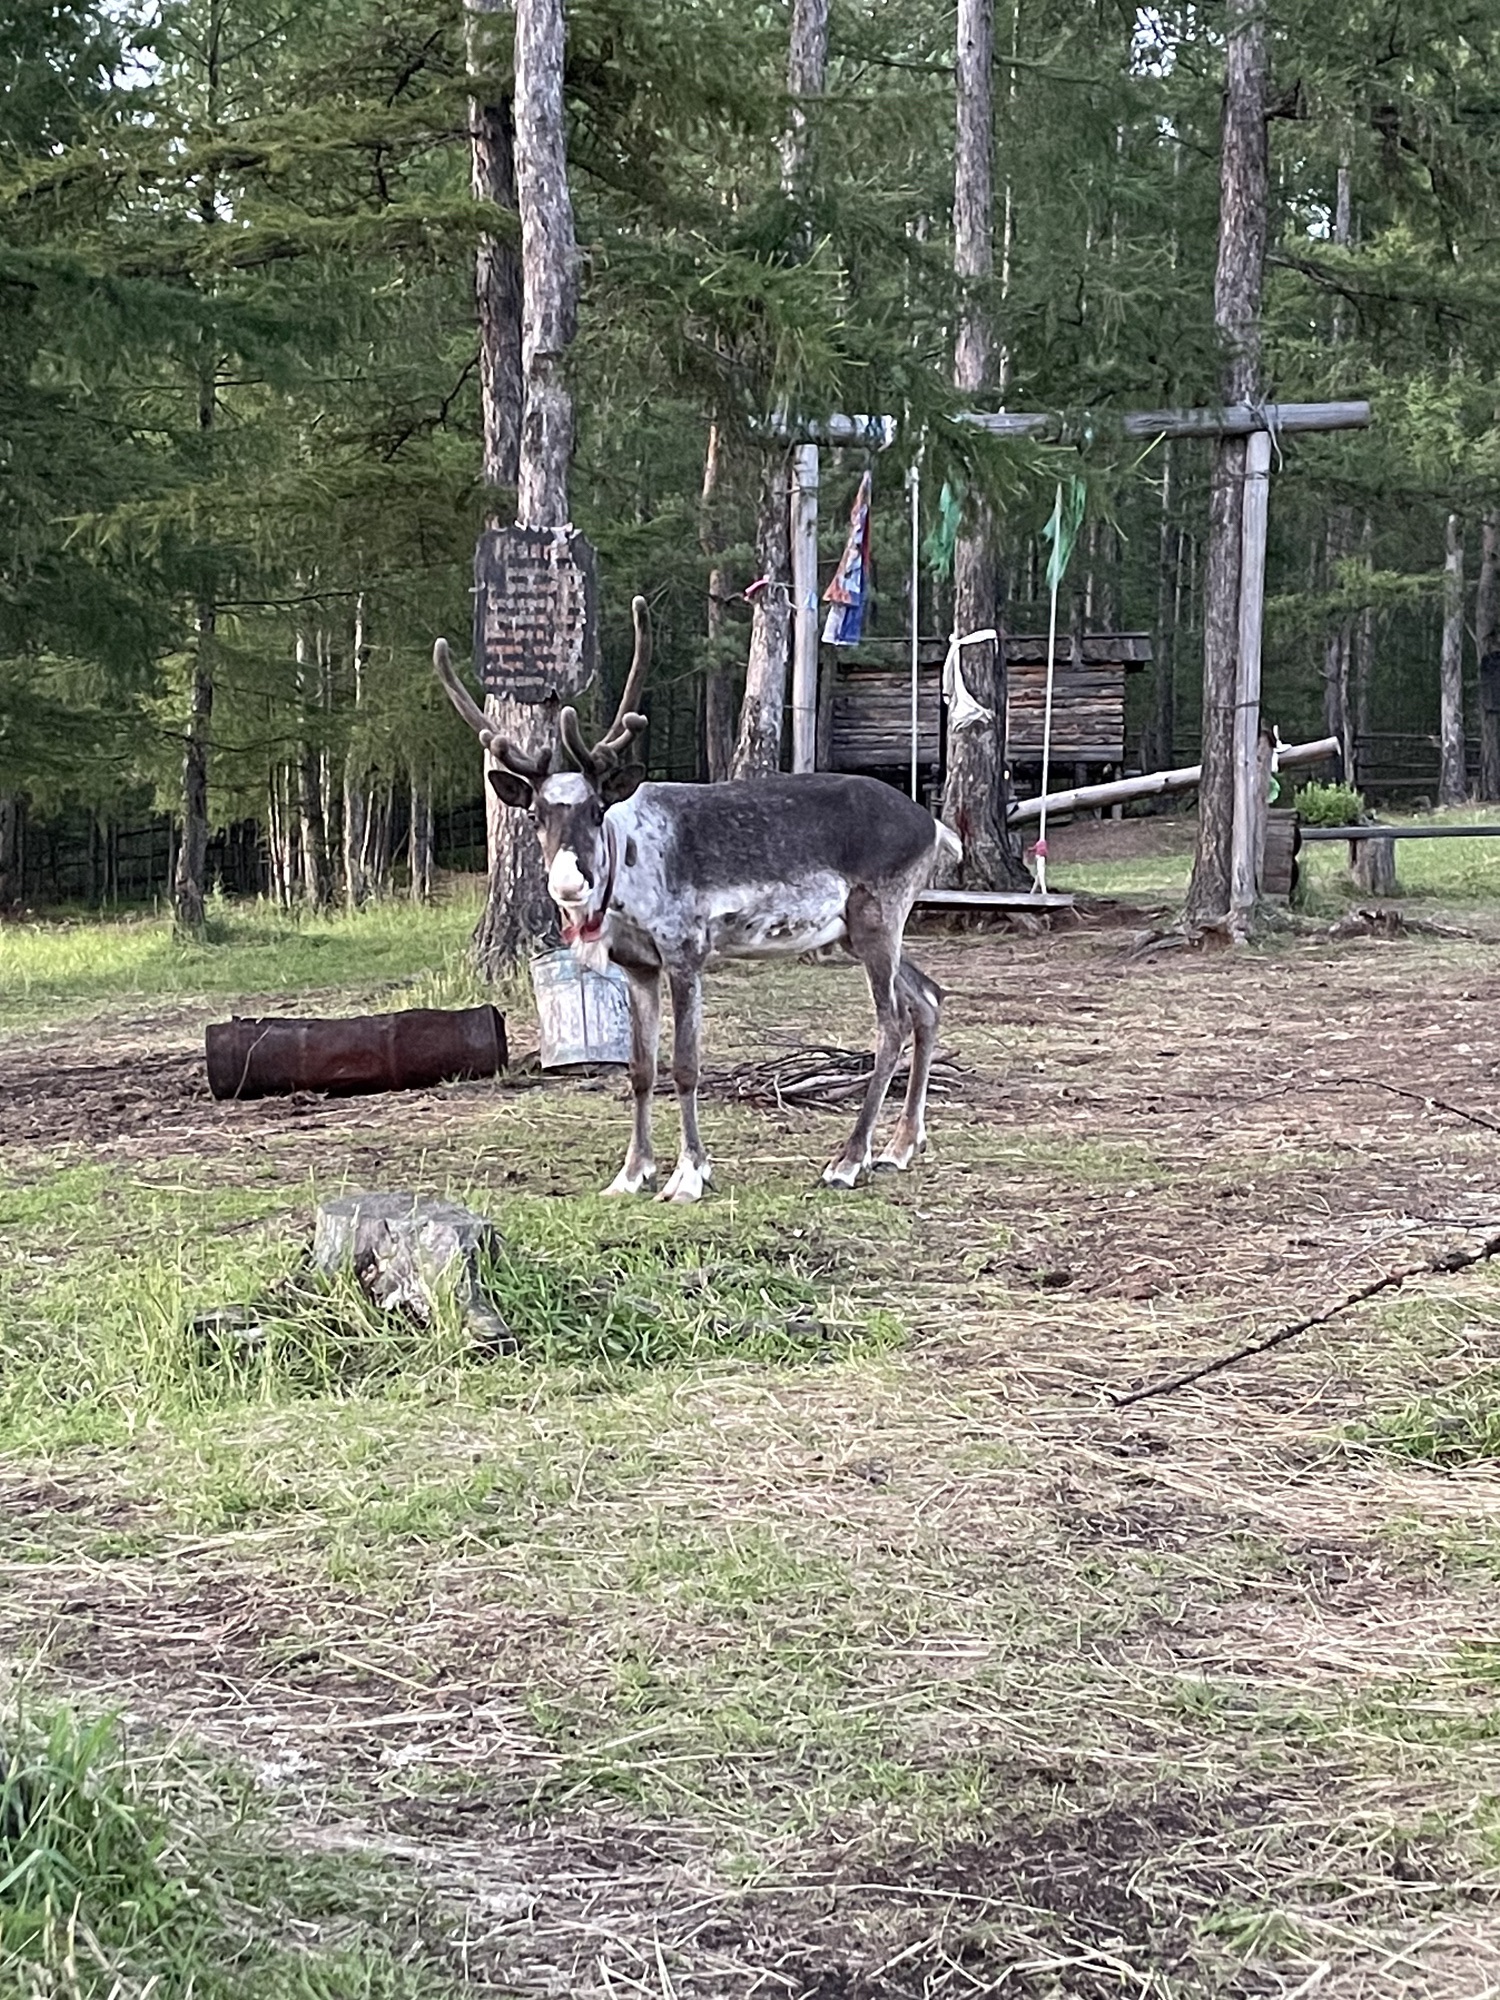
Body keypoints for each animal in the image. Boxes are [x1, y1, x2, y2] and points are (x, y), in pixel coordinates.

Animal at [433, 596, 960, 1202]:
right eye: (536, 815)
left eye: (596, 809)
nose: (568, 882)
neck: (626, 880)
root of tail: (935, 827)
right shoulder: (638, 965)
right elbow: (641, 1069)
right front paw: (631, 1172)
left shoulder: (685, 951)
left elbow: (685, 1066)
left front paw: (688, 1175)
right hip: (861, 931)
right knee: (928, 998)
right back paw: (901, 1146)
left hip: (878, 917)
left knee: (891, 1021)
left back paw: (849, 1160)